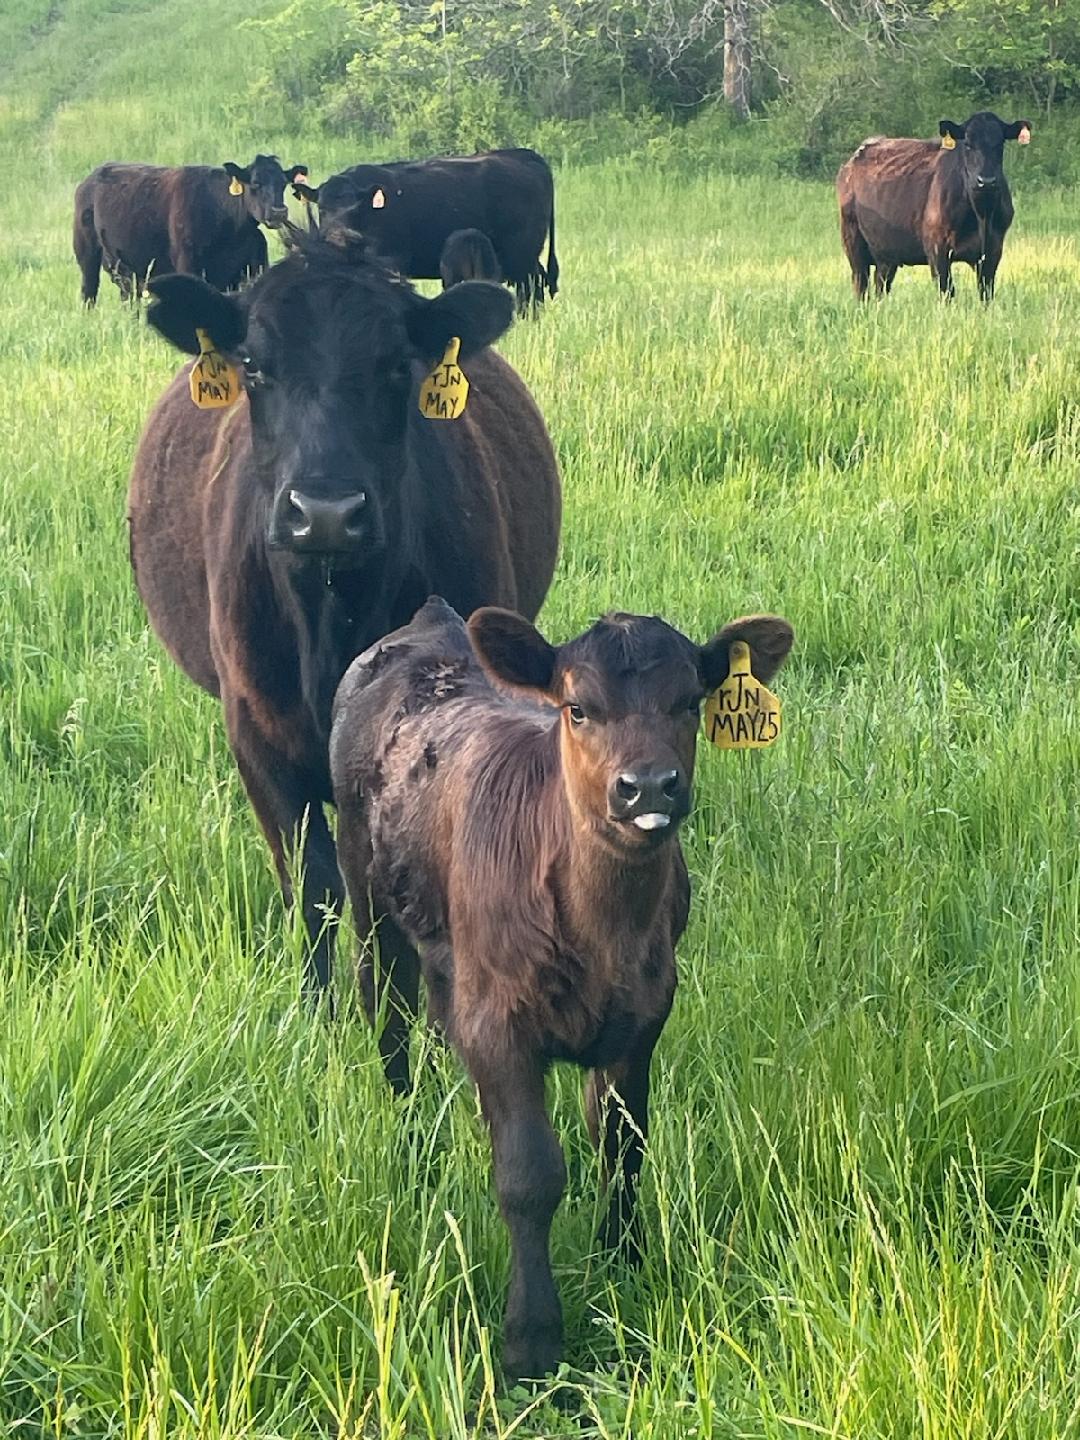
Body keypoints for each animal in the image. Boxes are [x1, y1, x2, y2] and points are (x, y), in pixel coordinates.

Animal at [73, 155, 308, 305]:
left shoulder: (250, 267)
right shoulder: (187, 262)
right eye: (255, 183)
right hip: (86, 253)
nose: (278, 212)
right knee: (89, 292)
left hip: (127, 268)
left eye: (284, 184)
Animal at [128, 230, 561, 997]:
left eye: (396, 366)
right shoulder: (256, 737)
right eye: (254, 365)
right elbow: (315, 887)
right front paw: (319, 1006)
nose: (325, 511)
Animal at [294, 149, 558, 315]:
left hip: (522, 255)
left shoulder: (392, 260)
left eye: (355, 209)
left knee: (531, 287)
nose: (337, 237)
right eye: (322, 208)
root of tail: (524, 155)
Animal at [329, 596, 794, 1378]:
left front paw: (623, 1269)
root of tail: (430, 621)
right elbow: (529, 1175)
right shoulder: (498, 1024)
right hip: (365, 890)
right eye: (578, 709)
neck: (601, 932)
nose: (648, 786)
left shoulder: (642, 1018)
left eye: (689, 701)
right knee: (386, 1010)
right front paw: (531, 1343)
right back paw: (412, 1139)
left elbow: (623, 1149)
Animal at [837, 112, 1031, 301]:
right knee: (861, 286)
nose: (986, 181)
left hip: (886, 253)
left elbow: (986, 293)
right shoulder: (937, 248)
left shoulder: (993, 251)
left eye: (1000, 144)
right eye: (968, 144)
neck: (981, 213)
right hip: (852, 240)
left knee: (881, 287)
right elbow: (947, 291)